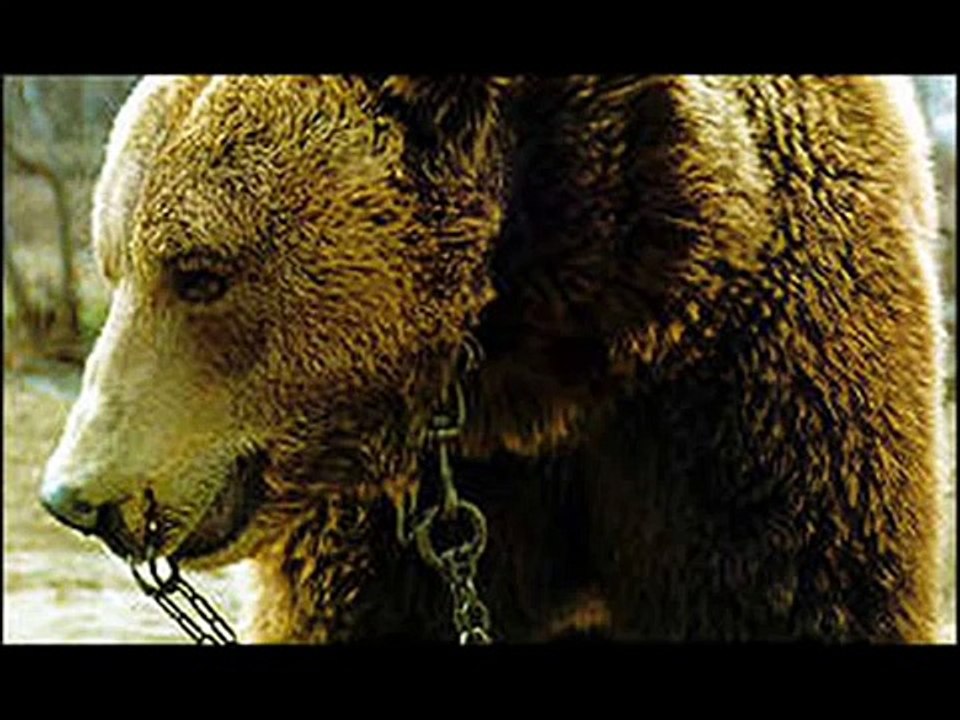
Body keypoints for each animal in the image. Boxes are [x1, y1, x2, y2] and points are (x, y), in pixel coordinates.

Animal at [40, 75, 944, 643]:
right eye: (113, 263)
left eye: (200, 272)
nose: (75, 495)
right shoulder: (383, 520)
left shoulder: (746, 393)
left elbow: (790, 590)